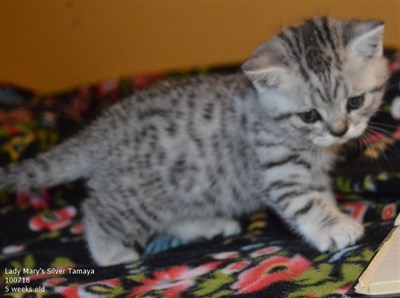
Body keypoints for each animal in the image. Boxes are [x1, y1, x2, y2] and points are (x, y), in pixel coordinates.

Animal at [0, 17, 388, 266]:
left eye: (355, 102)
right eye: (309, 115)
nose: (340, 130)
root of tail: (100, 129)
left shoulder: (314, 172)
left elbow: (322, 195)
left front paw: (335, 215)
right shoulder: (278, 170)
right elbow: (306, 202)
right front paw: (333, 227)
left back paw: (209, 225)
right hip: (136, 196)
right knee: (94, 211)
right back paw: (111, 254)